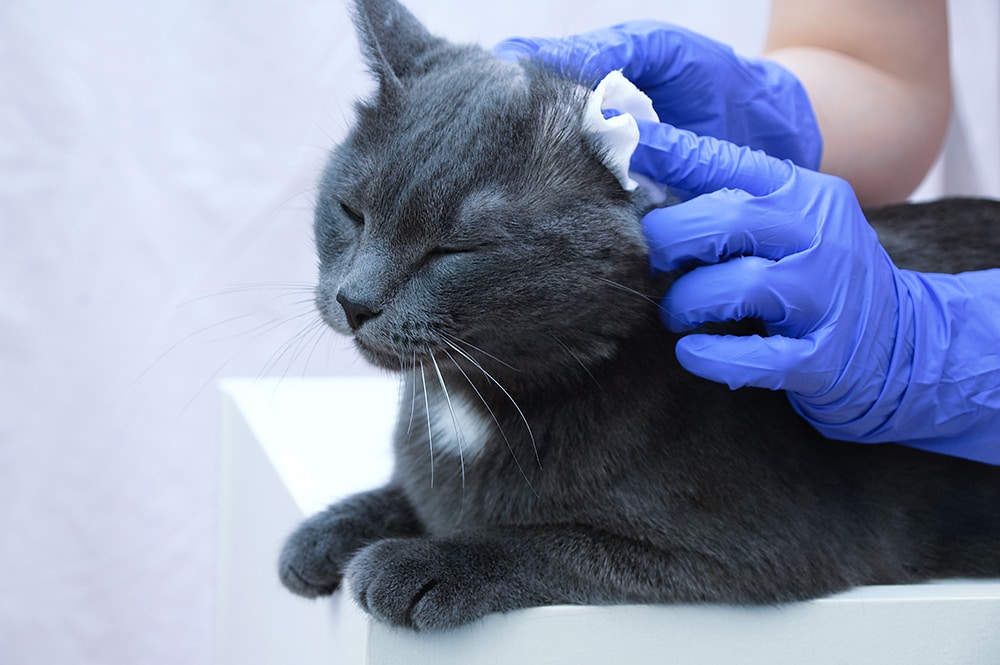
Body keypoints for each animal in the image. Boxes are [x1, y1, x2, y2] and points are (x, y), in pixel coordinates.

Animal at [278, 0, 1000, 628]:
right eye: (351, 211)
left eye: (454, 250)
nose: (355, 299)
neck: (473, 399)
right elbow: (415, 493)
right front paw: (330, 530)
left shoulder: (752, 546)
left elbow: (550, 540)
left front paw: (419, 562)